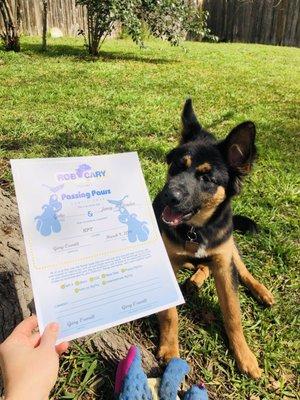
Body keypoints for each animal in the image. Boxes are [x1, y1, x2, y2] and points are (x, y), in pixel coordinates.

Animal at [154, 99, 276, 378]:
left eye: (206, 178)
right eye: (177, 165)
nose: (168, 196)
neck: (196, 230)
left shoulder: (223, 263)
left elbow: (233, 314)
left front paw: (245, 356)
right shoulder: (168, 261)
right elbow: (170, 314)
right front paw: (170, 349)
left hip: (231, 250)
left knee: (243, 270)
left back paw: (261, 291)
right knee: (200, 266)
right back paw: (194, 280)